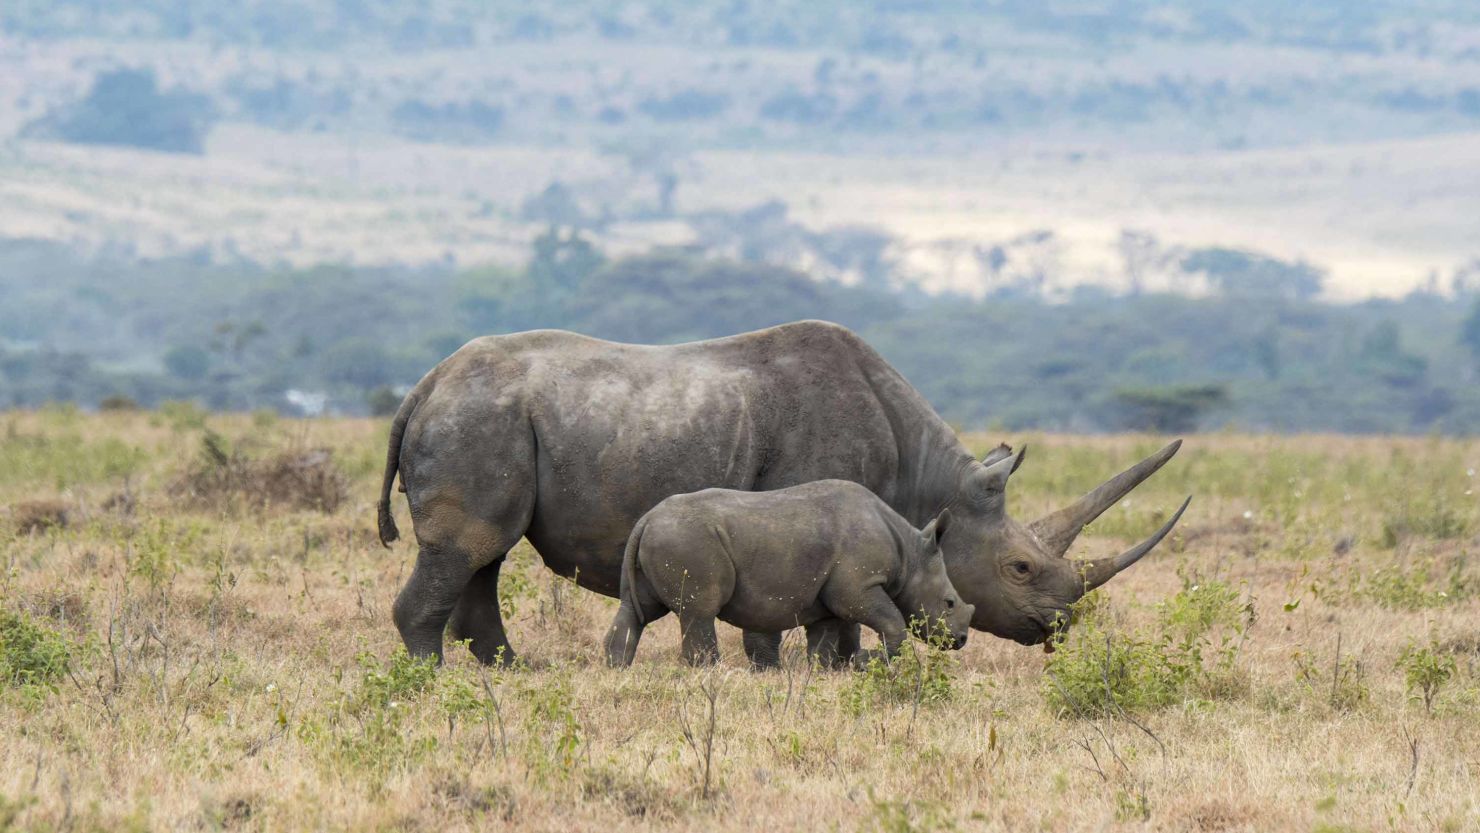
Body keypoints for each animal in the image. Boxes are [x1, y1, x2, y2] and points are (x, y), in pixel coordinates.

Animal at [600, 479, 970, 668]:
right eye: (949, 603)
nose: (960, 640)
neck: (911, 555)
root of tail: (647, 519)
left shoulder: (830, 596)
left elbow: (823, 639)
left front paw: (823, 672)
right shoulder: (858, 586)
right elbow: (894, 623)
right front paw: (865, 662)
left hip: (664, 537)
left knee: (637, 610)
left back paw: (617, 669)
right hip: (688, 539)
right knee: (699, 611)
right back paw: (710, 672)